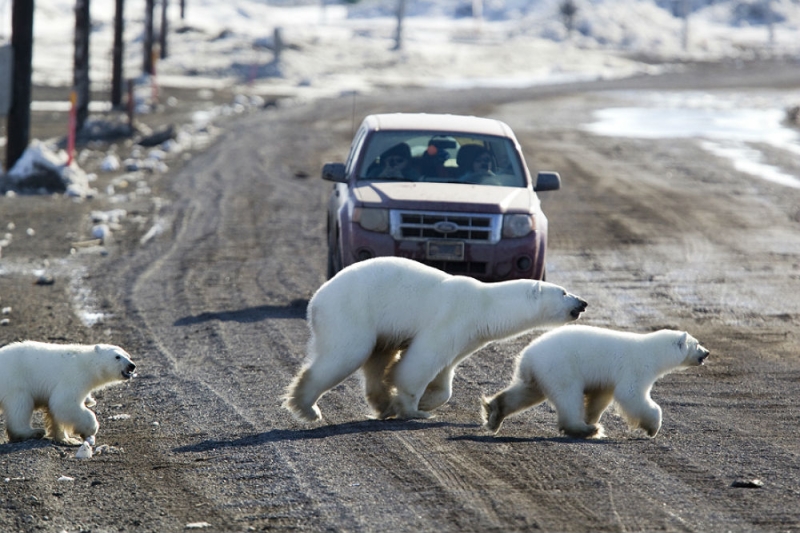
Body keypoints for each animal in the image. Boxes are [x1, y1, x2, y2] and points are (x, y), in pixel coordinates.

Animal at [0, 340, 138, 444]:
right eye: (117, 357)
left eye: (128, 355)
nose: (132, 365)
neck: (87, 363)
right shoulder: (74, 376)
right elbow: (64, 403)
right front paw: (90, 429)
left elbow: (56, 412)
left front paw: (67, 439)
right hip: (14, 380)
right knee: (20, 405)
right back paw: (32, 432)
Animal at [282, 256, 588, 422]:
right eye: (563, 292)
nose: (583, 302)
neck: (486, 305)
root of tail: (316, 300)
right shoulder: (452, 317)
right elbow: (420, 362)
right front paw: (414, 410)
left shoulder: (468, 335)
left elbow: (444, 373)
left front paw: (426, 402)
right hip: (351, 312)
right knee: (346, 354)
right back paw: (307, 407)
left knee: (377, 358)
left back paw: (382, 404)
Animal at [478, 326, 708, 438]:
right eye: (697, 343)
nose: (706, 352)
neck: (653, 351)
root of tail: (527, 357)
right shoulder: (636, 367)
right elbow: (630, 394)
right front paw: (653, 428)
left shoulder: (606, 379)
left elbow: (601, 397)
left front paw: (592, 417)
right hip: (560, 366)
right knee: (569, 395)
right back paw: (584, 429)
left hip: (541, 372)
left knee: (526, 392)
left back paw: (494, 412)